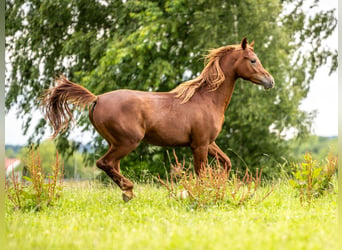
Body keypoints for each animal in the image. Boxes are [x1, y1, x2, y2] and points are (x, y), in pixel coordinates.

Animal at [40, 37, 276, 201]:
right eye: (253, 60)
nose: (270, 81)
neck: (207, 98)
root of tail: (96, 98)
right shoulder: (199, 145)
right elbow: (200, 172)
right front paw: (202, 194)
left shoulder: (209, 142)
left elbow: (226, 163)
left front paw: (217, 185)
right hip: (127, 142)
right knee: (104, 163)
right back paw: (129, 190)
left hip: (116, 143)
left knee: (112, 165)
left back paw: (128, 193)